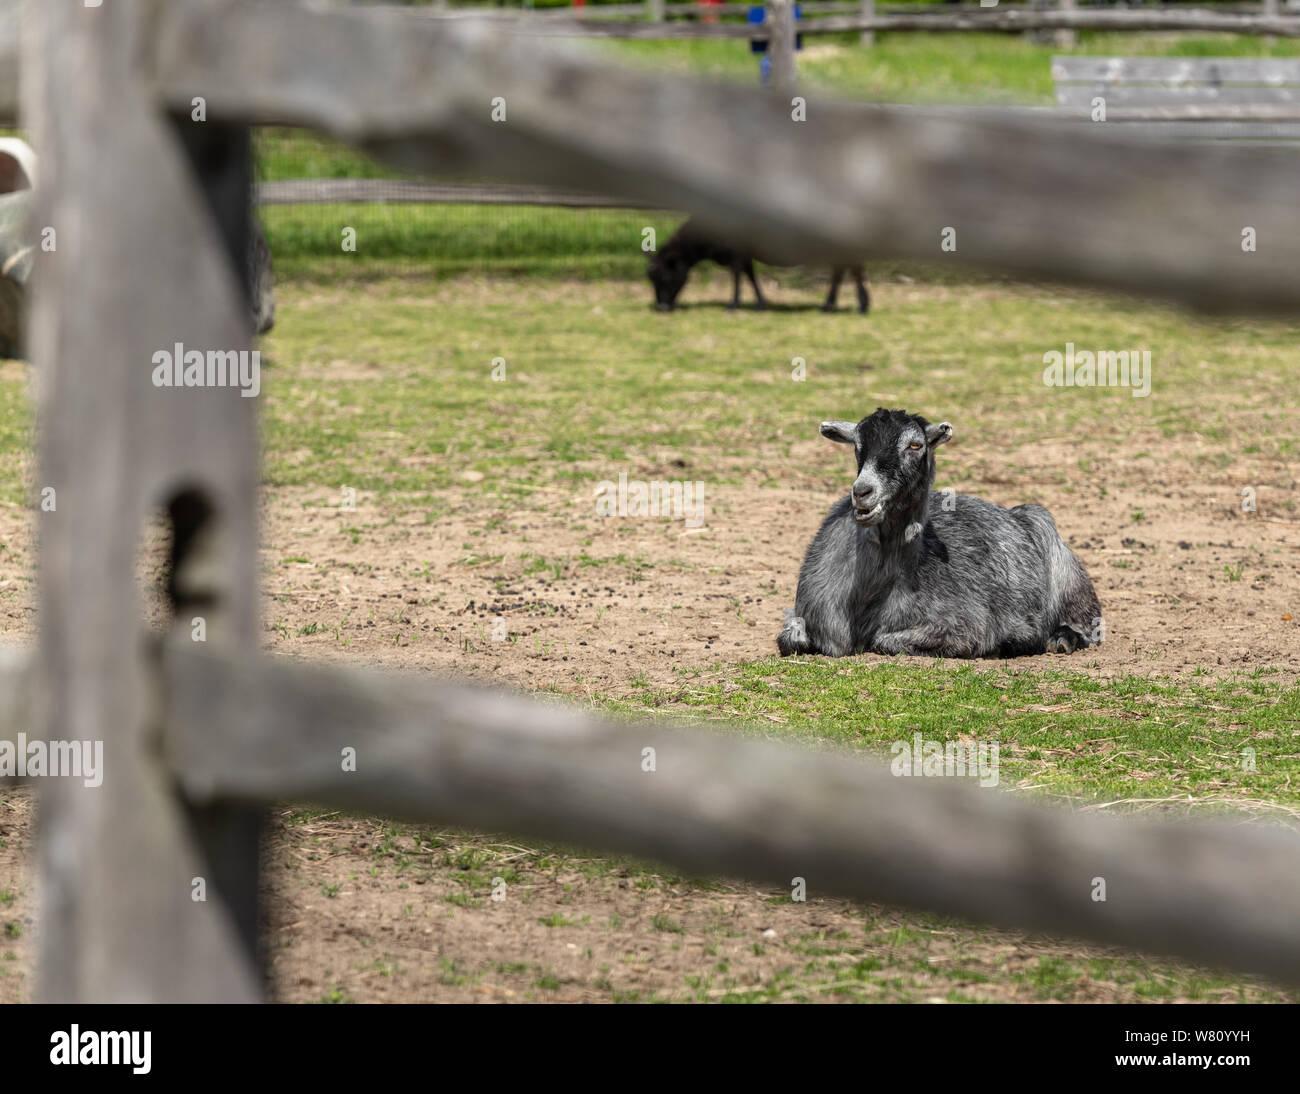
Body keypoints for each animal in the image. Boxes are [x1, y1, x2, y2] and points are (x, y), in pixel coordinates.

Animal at [647, 218, 868, 314]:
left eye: (665, 278)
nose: (661, 307)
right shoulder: (744, 254)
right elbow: (750, 275)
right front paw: (760, 303)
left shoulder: (736, 253)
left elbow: (737, 275)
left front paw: (733, 304)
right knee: (842, 271)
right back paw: (834, 304)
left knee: (850, 270)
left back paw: (858, 305)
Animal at [777, 409, 1102, 659]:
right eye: (857, 444)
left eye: (914, 445)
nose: (863, 491)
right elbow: (789, 640)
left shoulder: (964, 627)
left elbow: (884, 640)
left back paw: (1061, 638)